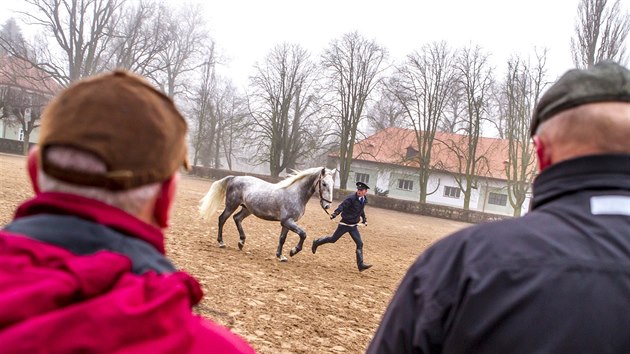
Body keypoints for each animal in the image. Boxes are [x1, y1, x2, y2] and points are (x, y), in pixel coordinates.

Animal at [201, 167, 338, 262]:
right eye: (324, 184)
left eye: (332, 185)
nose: (327, 206)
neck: (296, 194)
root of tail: (234, 178)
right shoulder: (287, 221)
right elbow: (303, 234)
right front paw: (293, 251)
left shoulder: (287, 223)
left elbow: (282, 239)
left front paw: (280, 256)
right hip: (231, 205)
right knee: (222, 219)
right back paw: (221, 242)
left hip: (247, 209)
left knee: (237, 218)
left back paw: (241, 242)